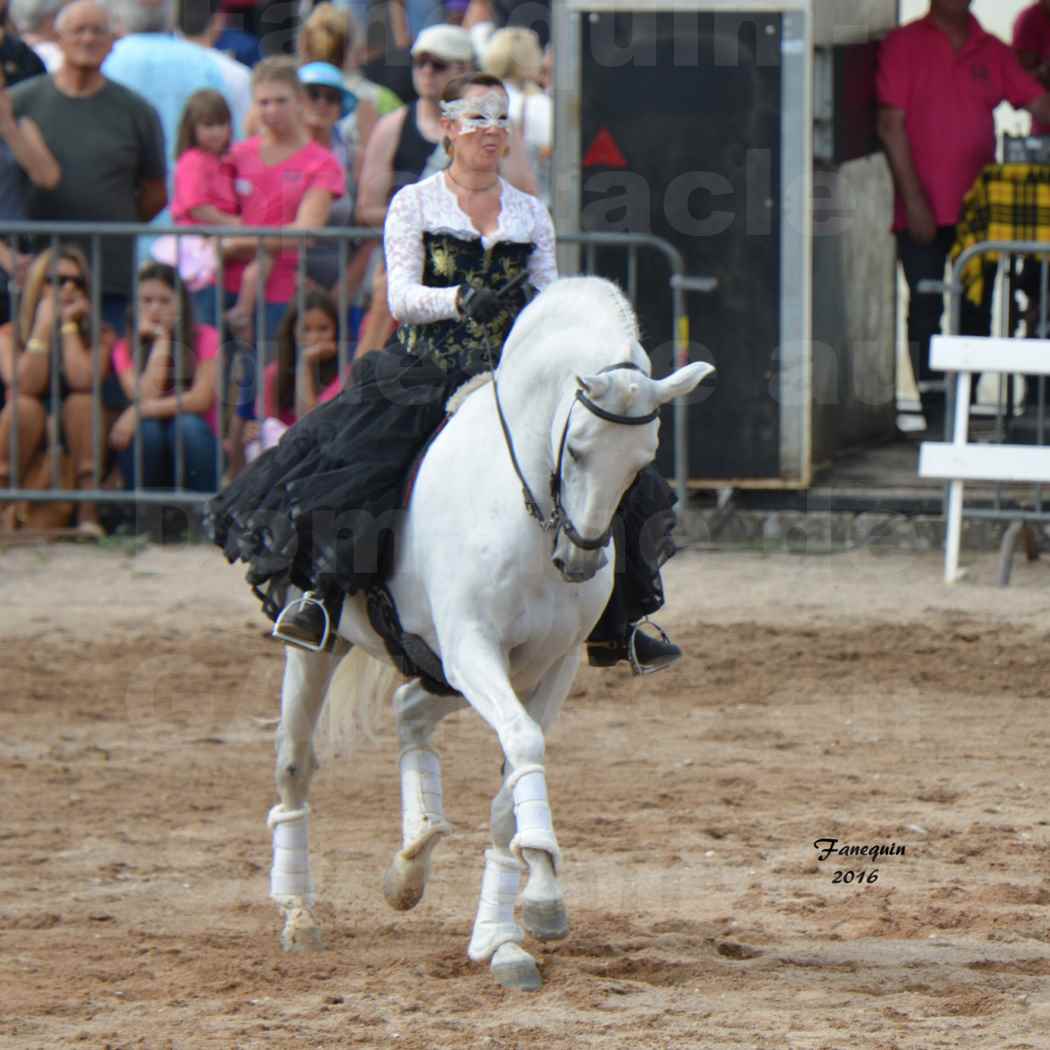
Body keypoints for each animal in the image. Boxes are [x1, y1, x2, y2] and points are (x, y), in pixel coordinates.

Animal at [262, 275, 713, 986]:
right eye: (577, 448)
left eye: (643, 462)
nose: (580, 559)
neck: (527, 510)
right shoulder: (474, 649)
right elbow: (524, 745)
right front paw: (537, 906)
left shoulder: (550, 665)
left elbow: (511, 785)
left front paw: (510, 930)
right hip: (334, 651)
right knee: (294, 762)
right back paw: (299, 913)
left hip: (441, 669)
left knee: (408, 712)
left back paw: (412, 860)